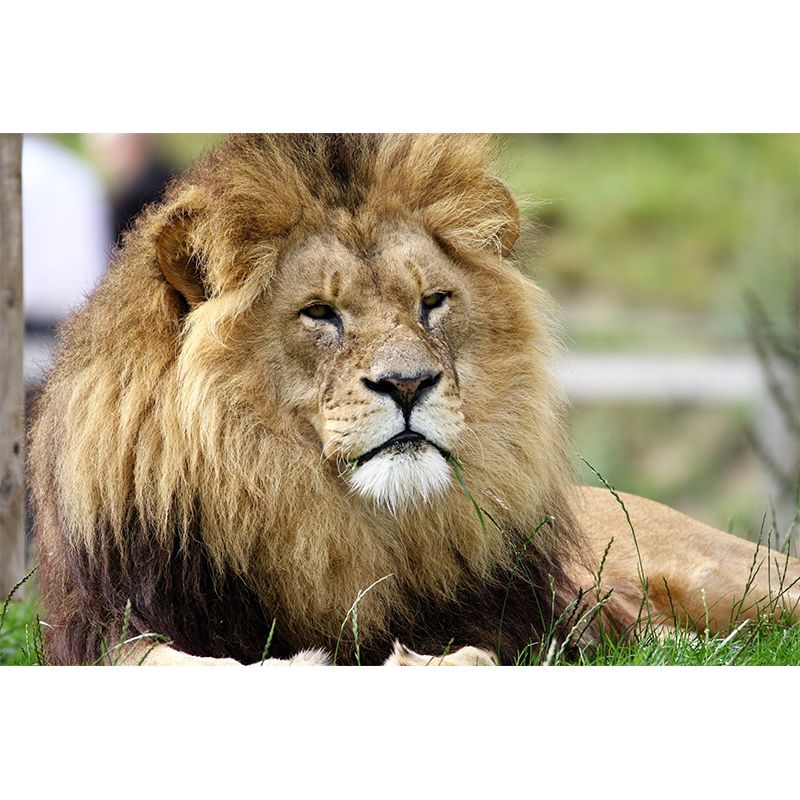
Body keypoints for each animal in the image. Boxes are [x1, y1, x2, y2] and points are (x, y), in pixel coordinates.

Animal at [29, 133, 800, 666]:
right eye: (320, 314)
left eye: (432, 302)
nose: (407, 384)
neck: (318, 514)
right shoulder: (105, 623)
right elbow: (171, 661)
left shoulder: (527, 618)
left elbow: (478, 650)